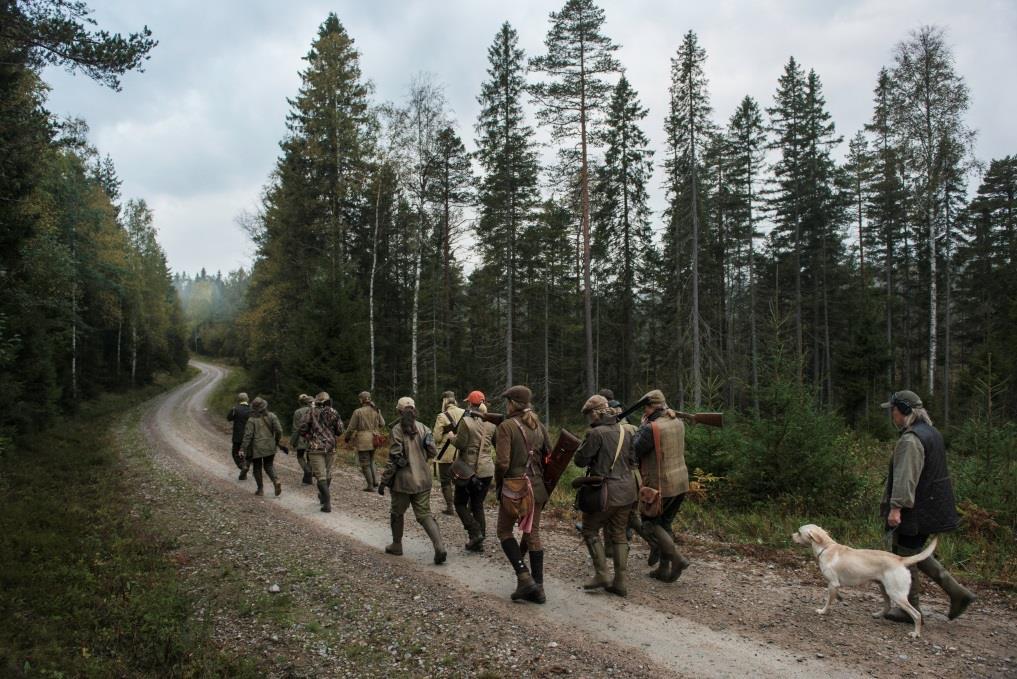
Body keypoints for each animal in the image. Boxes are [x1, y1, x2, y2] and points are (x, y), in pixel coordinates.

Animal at [793, 524, 935, 638]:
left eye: (799, 532)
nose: (791, 535)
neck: (826, 547)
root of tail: (900, 559)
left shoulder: (832, 583)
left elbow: (828, 602)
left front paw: (823, 611)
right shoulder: (834, 586)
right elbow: (834, 597)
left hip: (896, 594)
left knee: (916, 614)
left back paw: (916, 633)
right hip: (884, 589)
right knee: (888, 606)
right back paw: (878, 615)